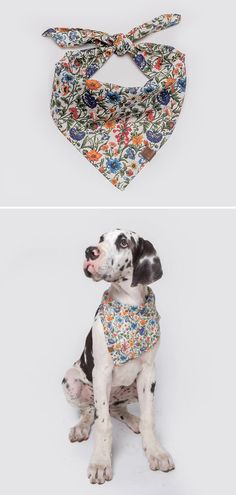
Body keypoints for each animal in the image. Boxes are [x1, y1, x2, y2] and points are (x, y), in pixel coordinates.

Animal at [61, 231, 174, 486]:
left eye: (123, 242)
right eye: (101, 238)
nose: (89, 251)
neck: (129, 304)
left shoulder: (149, 373)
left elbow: (149, 418)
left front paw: (155, 451)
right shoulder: (101, 373)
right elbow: (103, 424)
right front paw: (101, 463)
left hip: (133, 388)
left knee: (117, 408)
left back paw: (132, 420)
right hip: (71, 379)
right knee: (90, 410)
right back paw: (81, 427)